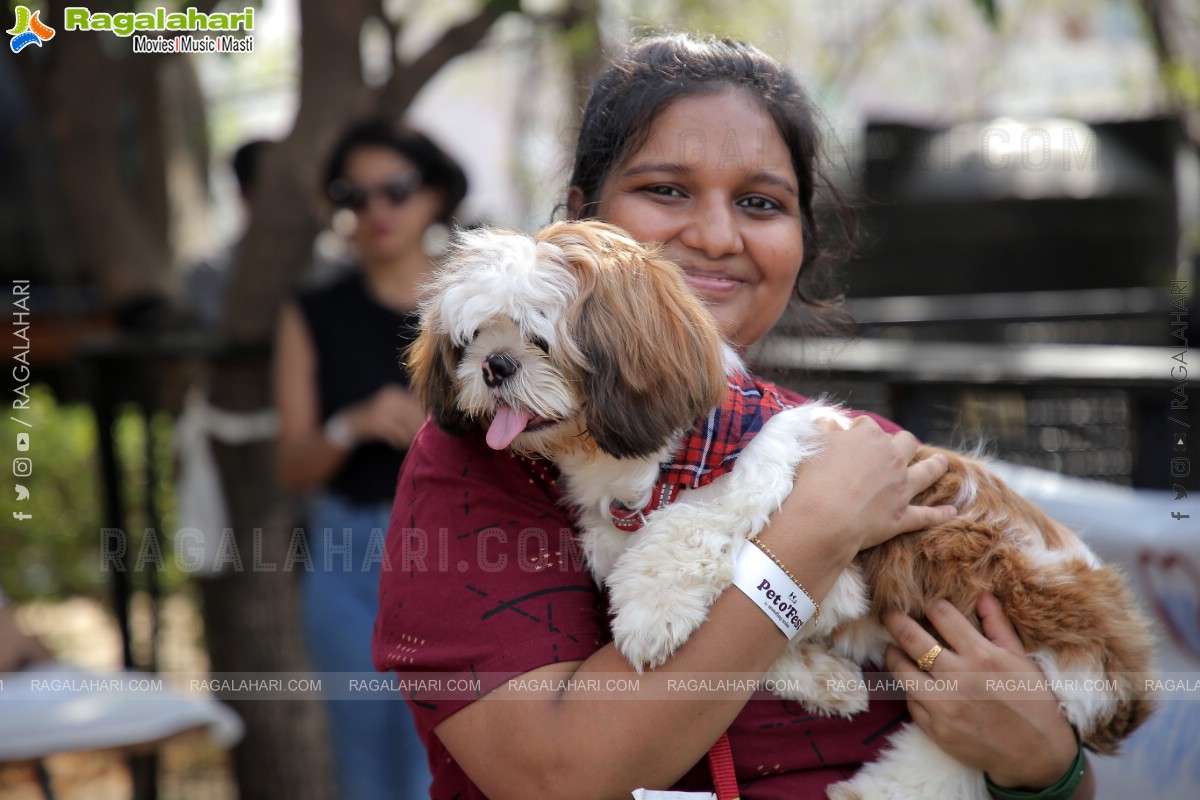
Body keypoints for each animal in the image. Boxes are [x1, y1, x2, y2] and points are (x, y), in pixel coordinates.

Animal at [410, 220, 1152, 800]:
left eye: (539, 339)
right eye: (472, 339)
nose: (495, 366)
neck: (648, 465)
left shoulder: (774, 467)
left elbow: (691, 524)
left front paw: (650, 616)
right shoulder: (613, 533)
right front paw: (823, 677)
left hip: (1032, 657)